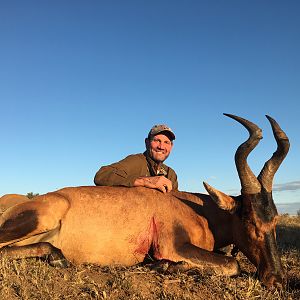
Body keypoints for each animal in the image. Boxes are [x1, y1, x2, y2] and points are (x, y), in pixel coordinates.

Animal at [0, 114, 290, 288]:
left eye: (274, 219)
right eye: (249, 220)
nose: (276, 279)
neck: (196, 209)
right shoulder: (175, 246)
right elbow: (232, 264)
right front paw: (164, 266)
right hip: (39, 220)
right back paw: (58, 257)